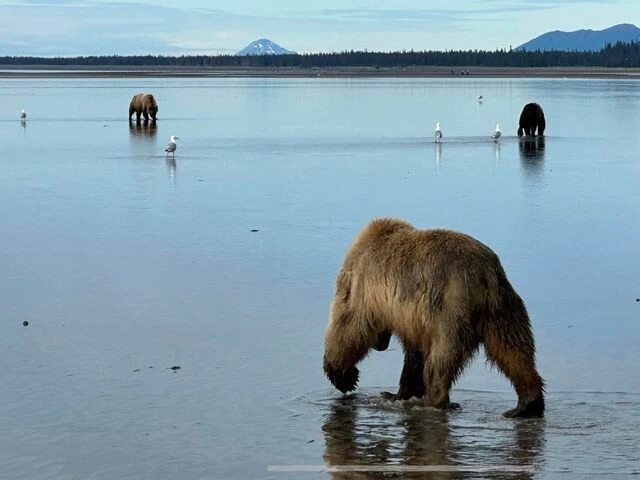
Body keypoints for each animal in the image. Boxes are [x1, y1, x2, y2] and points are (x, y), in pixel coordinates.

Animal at [322, 218, 545, 418]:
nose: (381, 345)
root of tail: (482, 275)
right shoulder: (412, 318)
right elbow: (414, 355)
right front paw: (400, 393)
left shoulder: (364, 285)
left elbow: (350, 327)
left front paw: (344, 376)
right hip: (502, 306)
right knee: (513, 351)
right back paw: (526, 405)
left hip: (449, 308)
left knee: (441, 357)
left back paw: (429, 400)